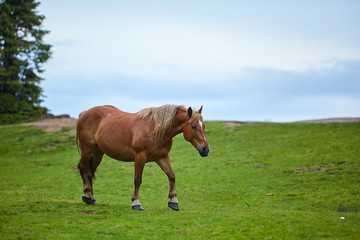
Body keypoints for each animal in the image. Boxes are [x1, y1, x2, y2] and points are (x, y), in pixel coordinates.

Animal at [76, 104, 211, 211]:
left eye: (203, 126)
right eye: (194, 126)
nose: (206, 149)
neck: (155, 130)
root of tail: (84, 113)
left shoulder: (162, 157)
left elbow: (171, 176)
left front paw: (173, 201)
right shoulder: (140, 157)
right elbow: (138, 179)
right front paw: (136, 203)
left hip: (98, 152)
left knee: (90, 172)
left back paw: (91, 198)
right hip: (87, 149)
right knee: (83, 168)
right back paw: (87, 195)